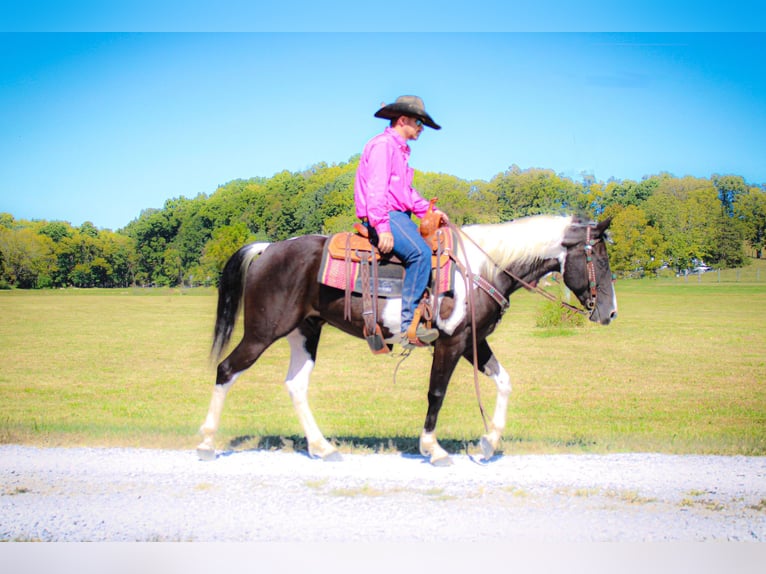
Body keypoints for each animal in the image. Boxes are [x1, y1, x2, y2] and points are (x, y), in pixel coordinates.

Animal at [198, 214, 616, 466]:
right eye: (599, 259)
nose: (609, 313)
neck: (481, 269)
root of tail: (268, 248)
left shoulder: (473, 343)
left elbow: (504, 382)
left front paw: (488, 443)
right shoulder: (451, 343)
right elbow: (437, 393)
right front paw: (433, 448)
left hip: (305, 331)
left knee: (295, 385)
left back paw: (322, 447)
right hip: (262, 332)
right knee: (226, 370)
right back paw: (205, 443)